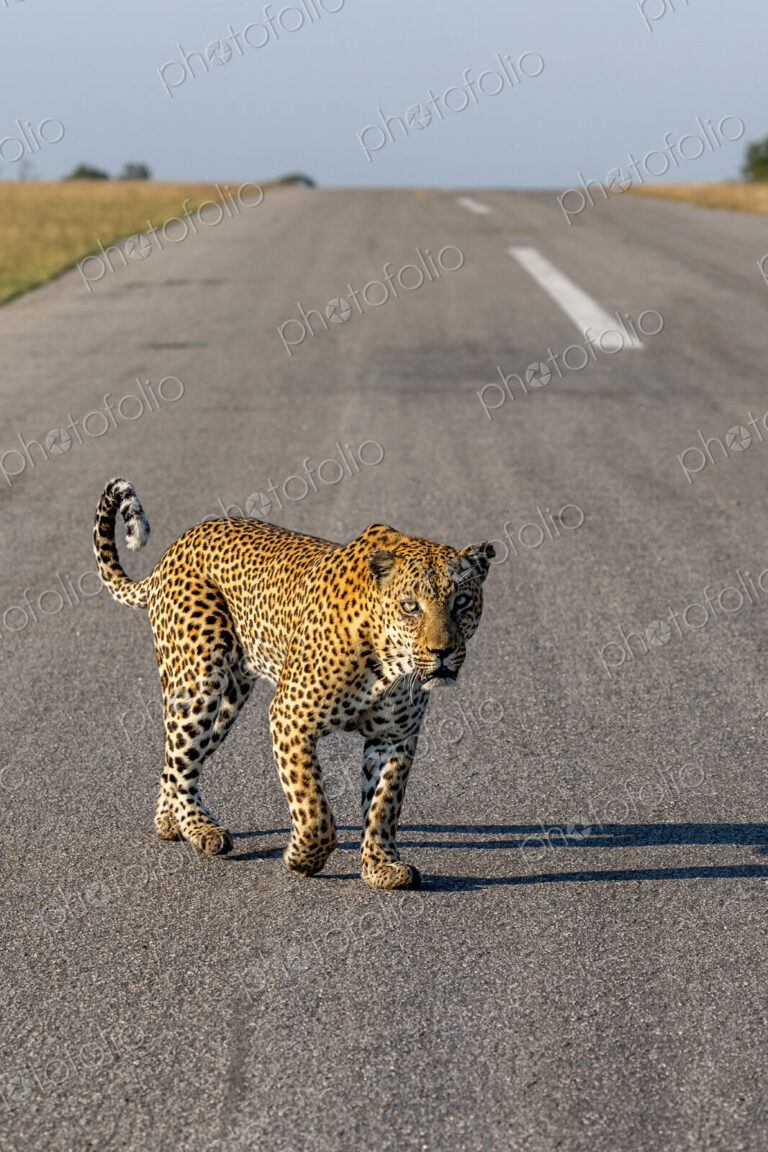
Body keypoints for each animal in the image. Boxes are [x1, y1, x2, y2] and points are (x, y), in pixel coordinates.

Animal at [94, 477, 494, 889]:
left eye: (462, 602)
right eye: (411, 606)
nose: (442, 651)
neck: (390, 664)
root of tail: (176, 546)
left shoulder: (394, 737)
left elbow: (383, 806)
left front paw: (381, 866)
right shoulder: (290, 718)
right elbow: (313, 804)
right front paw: (302, 858)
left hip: (228, 699)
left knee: (174, 759)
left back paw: (168, 821)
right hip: (198, 683)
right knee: (182, 763)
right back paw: (200, 829)